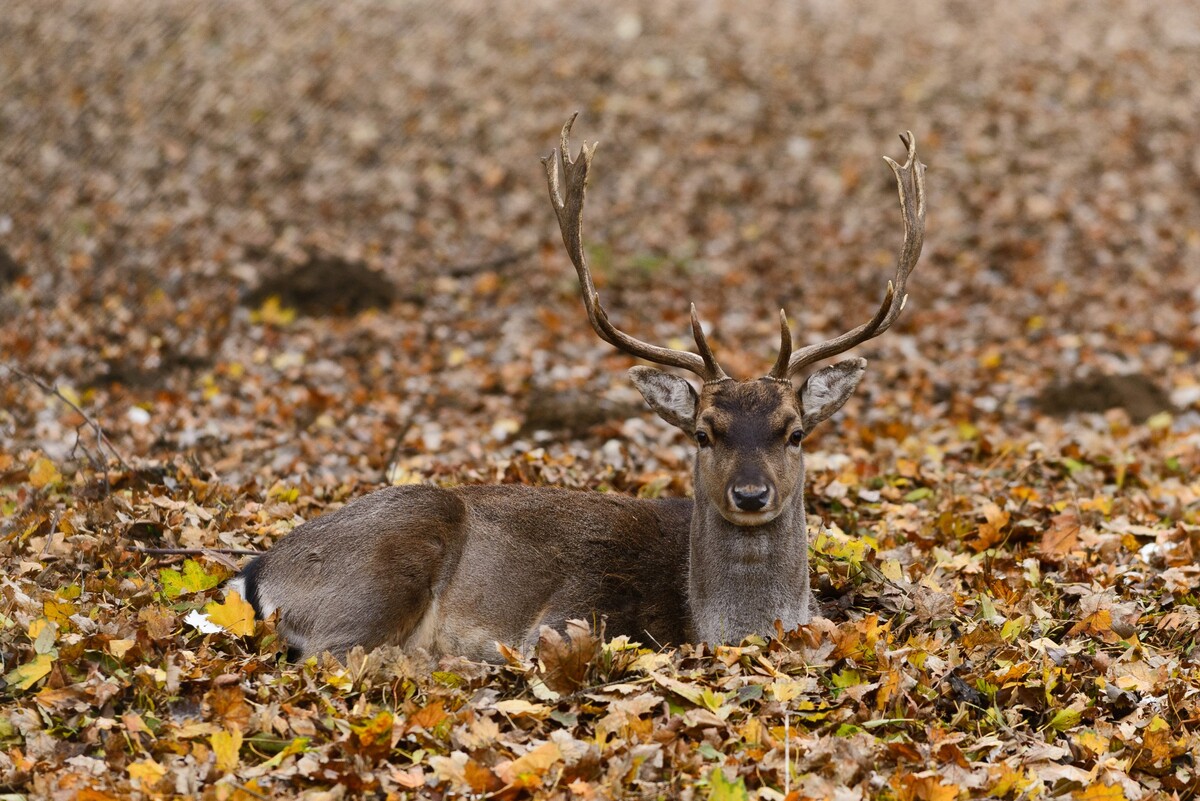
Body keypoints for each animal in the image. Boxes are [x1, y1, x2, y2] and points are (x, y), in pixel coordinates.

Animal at [225, 113, 926, 661]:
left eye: (795, 432)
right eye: (704, 433)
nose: (751, 494)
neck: (714, 623)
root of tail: (258, 571)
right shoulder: (568, 616)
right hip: (392, 556)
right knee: (342, 655)